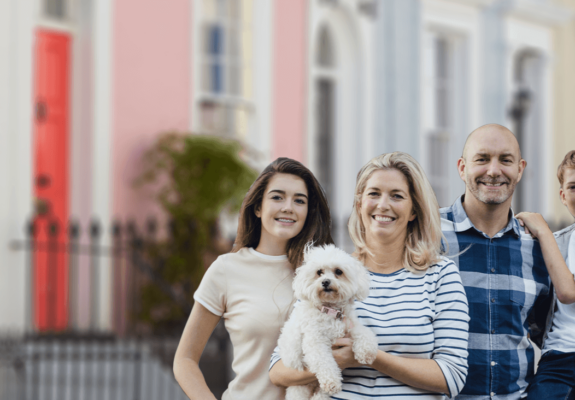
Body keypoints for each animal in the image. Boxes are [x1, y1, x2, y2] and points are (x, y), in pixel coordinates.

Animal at [278, 244, 380, 400]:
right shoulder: (315, 342)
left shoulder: (350, 325)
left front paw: (366, 352)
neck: (331, 311)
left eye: (338, 271)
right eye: (319, 272)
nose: (325, 282)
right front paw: (332, 382)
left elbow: (364, 332)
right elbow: (324, 362)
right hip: (298, 387)